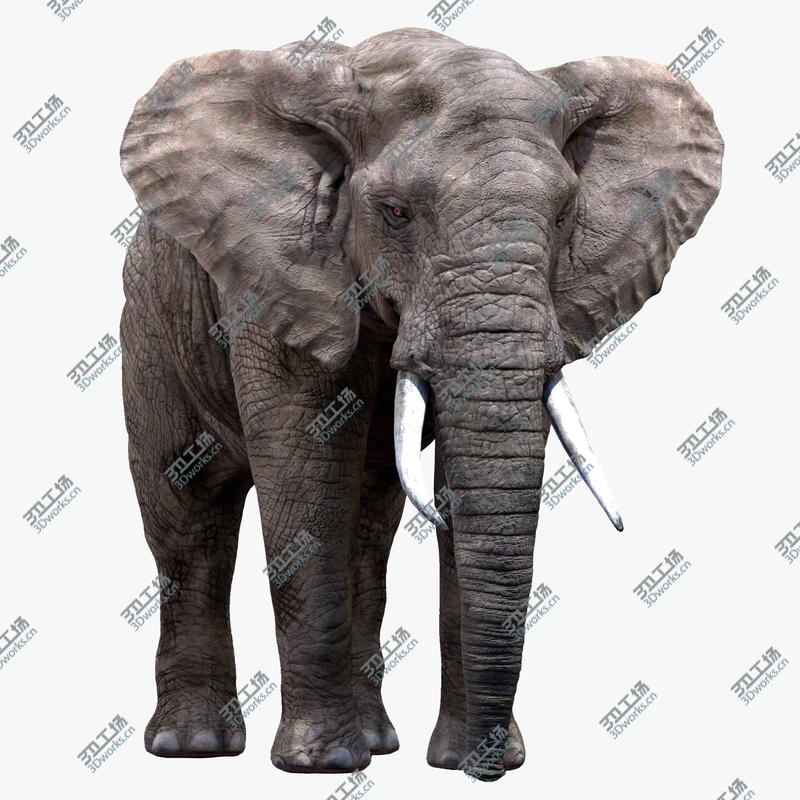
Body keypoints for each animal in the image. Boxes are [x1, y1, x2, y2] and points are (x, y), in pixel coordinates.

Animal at [118, 27, 723, 781]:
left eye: (563, 215)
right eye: (396, 214)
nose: (487, 772)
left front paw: (465, 758)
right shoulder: (275, 277)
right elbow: (305, 470)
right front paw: (321, 766)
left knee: (369, 528)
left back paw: (378, 742)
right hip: (149, 320)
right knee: (187, 516)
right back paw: (194, 748)